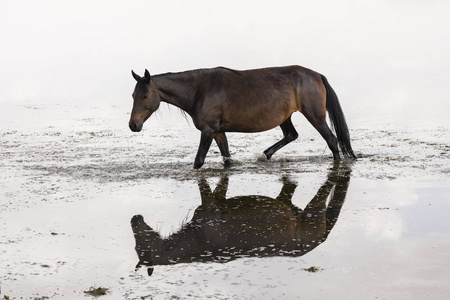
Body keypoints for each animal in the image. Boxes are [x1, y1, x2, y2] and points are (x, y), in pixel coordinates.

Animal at [128, 66, 356, 169]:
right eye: (133, 95)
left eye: (145, 96)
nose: (133, 125)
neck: (199, 90)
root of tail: (317, 75)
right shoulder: (218, 131)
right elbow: (227, 157)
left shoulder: (208, 131)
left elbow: (198, 161)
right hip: (285, 117)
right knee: (292, 135)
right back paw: (266, 154)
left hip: (315, 115)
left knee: (332, 139)